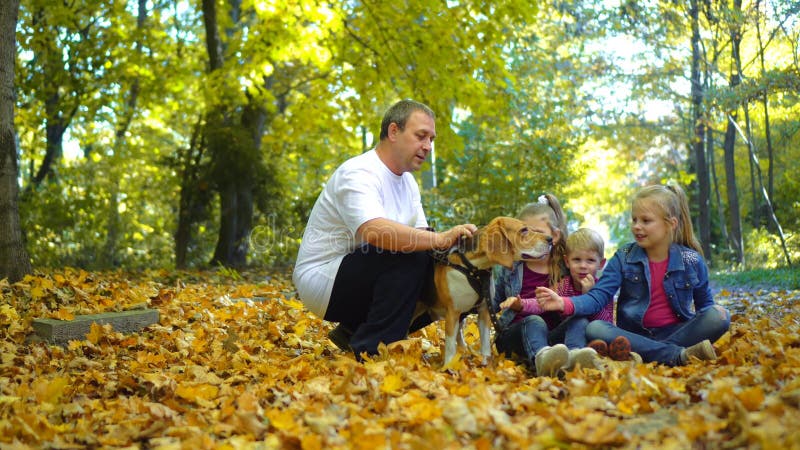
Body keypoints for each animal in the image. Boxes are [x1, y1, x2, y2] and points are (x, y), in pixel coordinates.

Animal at [418, 216, 552, 368]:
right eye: (524, 230)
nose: (550, 239)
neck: (475, 269)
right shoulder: (453, 312)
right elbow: (450, 347)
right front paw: (449, 367)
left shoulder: (484, 311)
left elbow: (486, 345)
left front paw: (486, 366)